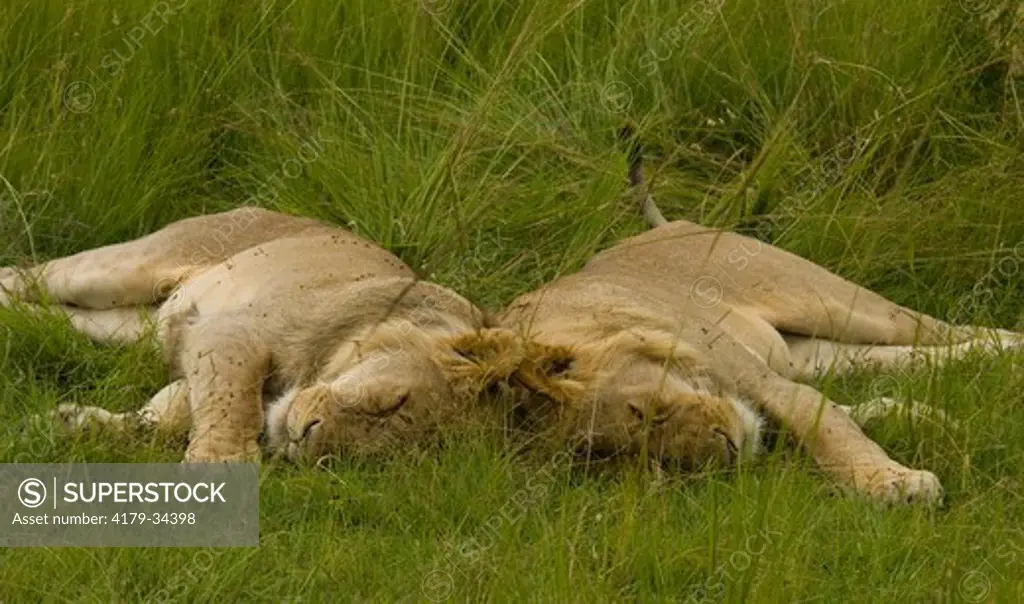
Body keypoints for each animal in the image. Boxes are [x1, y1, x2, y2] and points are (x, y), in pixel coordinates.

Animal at [0, 208, 512, 464]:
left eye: (368, 459)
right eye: (393, 403)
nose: (307, 441)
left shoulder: (194, 362)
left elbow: (167, 416)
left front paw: (69, 423)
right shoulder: (230, 332)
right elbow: (234, 403)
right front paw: (220, 468)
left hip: (131, 327)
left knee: (53, 316)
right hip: (122, 268)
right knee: (21, 275)